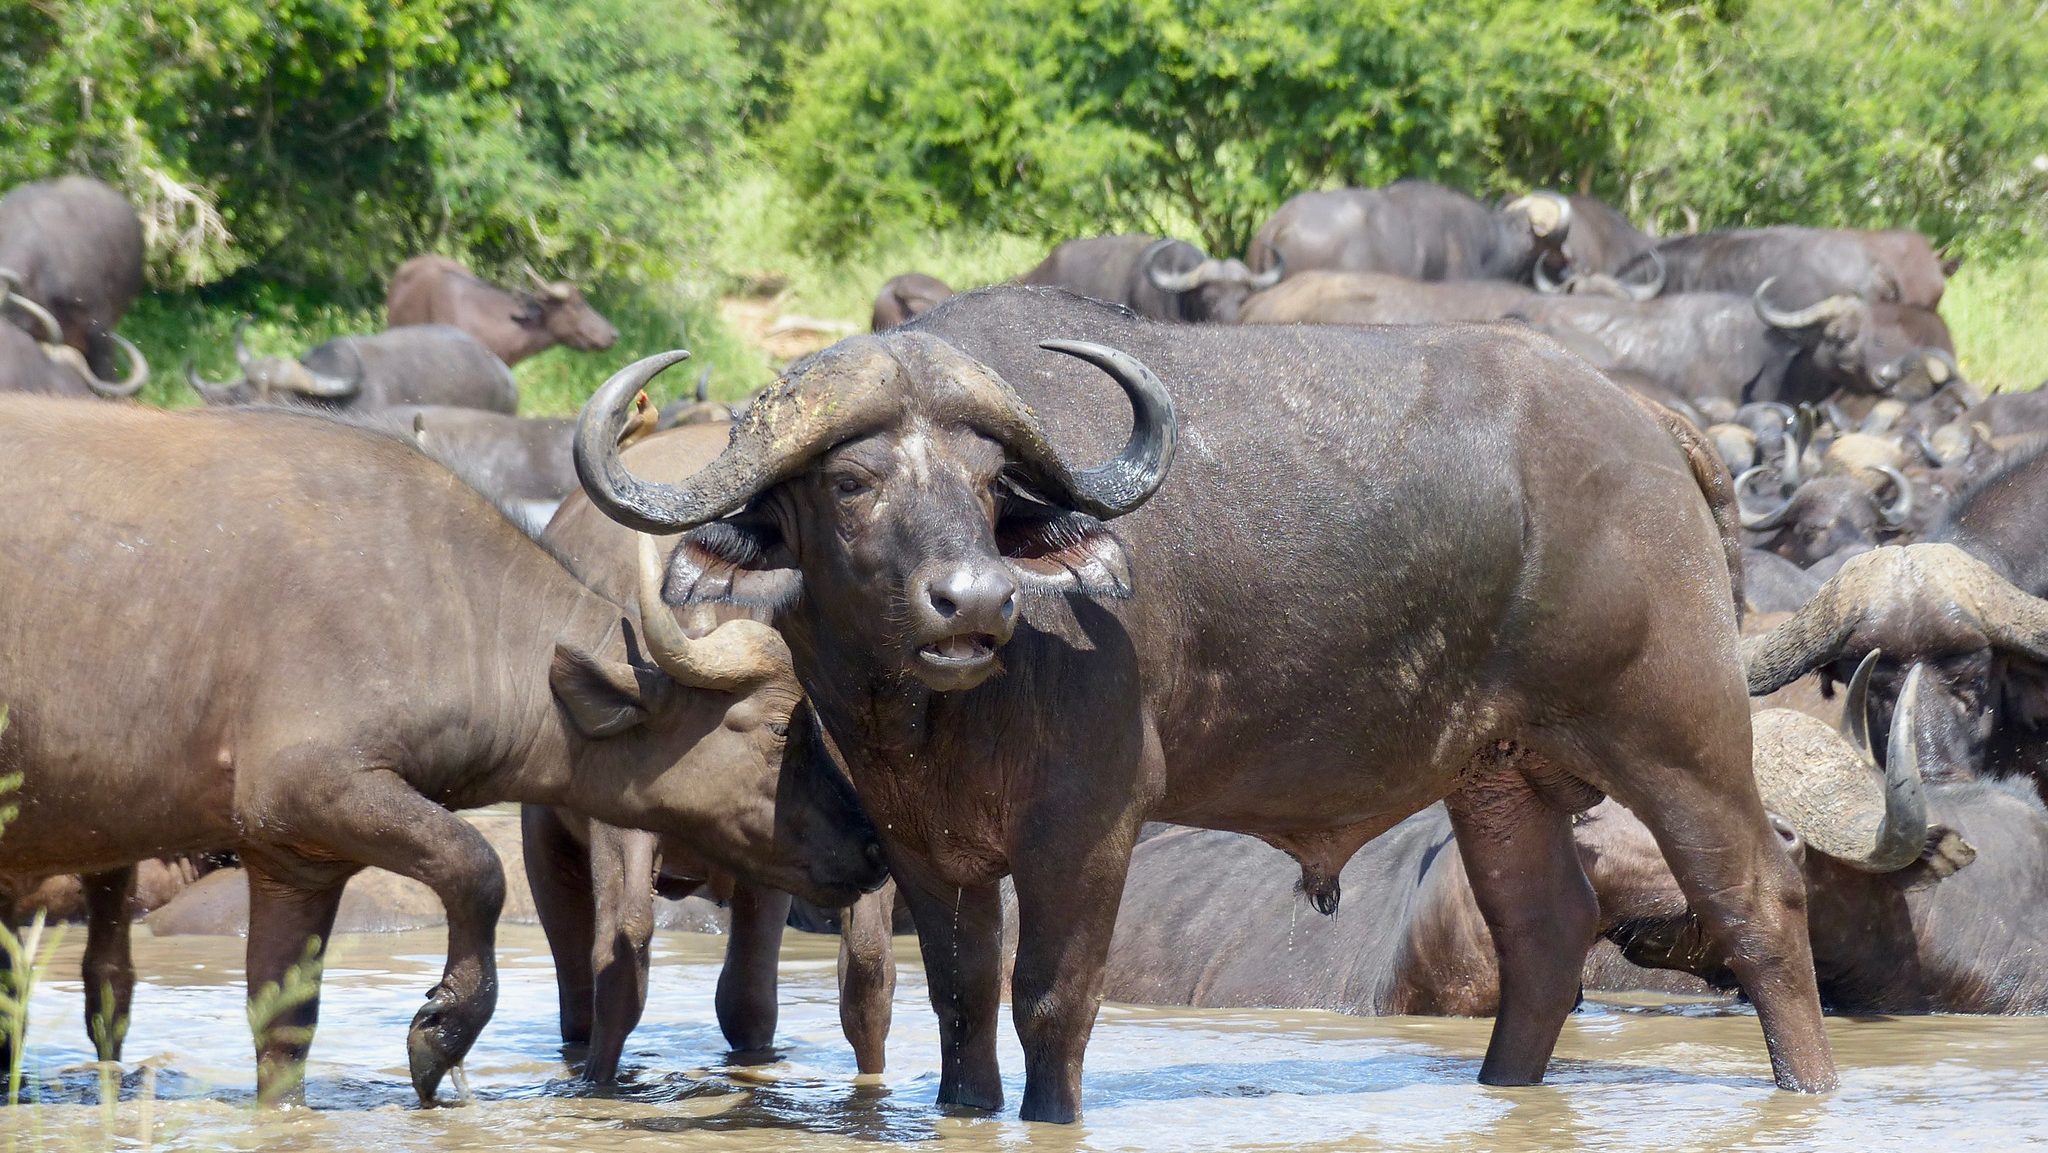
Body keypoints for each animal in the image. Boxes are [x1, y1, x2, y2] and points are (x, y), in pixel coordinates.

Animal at [0, 399, 884, 1105]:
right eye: (781, 727)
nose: (875, 846)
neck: (434, 600)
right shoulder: (319, 792)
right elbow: (476, 867)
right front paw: (444, 1027)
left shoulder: (292, 855)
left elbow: (283, 1026)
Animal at [573, 284, 1843, 1122]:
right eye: (848, 479)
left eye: (988, 486)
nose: (973, 598)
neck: (933, 715)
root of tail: (1645, 423)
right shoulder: (924, 844)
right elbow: (960, 1001)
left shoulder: (1086, 827)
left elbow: (1051, 1000)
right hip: (1500, 776)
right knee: (1542, 937)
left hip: (1675, 731)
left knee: (1757, 904)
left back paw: (1807, 1087)